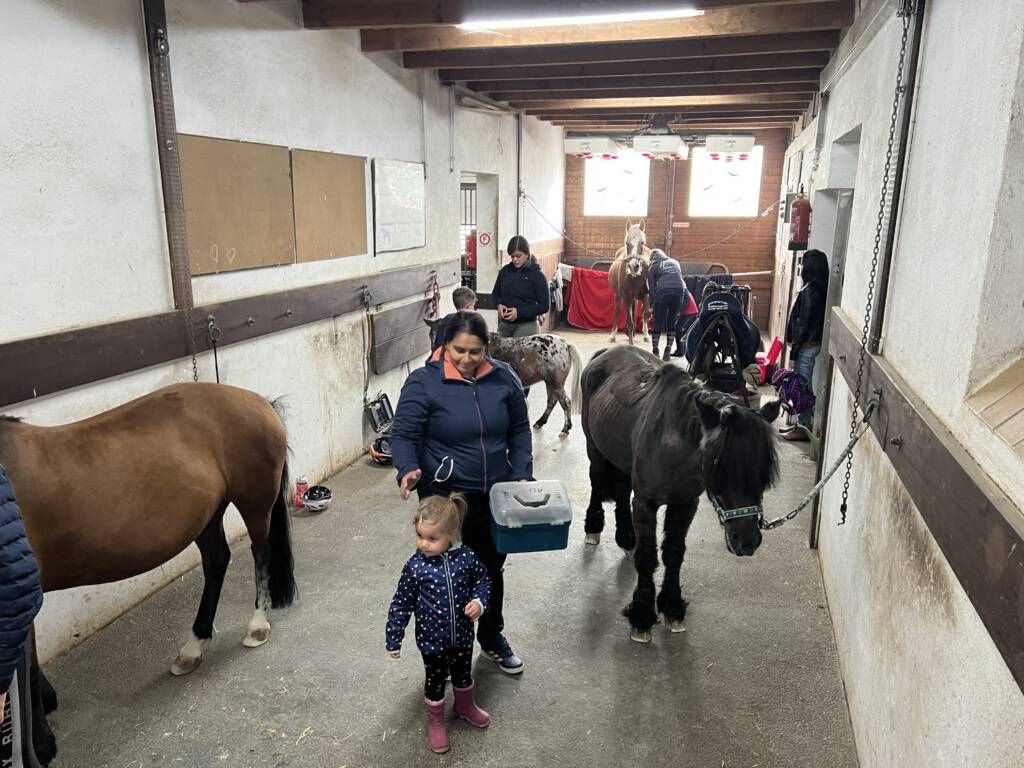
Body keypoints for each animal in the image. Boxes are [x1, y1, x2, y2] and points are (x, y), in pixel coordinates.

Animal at [0, 383, 297, 764]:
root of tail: (260, 401)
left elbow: (27, 665)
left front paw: (41, 742)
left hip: (254, 504)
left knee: (260, 555)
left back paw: (256, 626)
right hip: (208, 514)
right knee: (217, 561)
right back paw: (193, 647)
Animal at [581, 345, 780, 643]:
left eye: (763, 470)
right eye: (717, 466)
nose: (746, 540)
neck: (670, 441)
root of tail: (606, 352)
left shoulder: (685, 504)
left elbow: (674, 554)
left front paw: (672, 609)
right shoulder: (645, 503)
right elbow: (647, 556)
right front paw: (641, 617)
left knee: (621, 490)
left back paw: (626, 538)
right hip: (594, 448)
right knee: (596, 481)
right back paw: (593, 529)